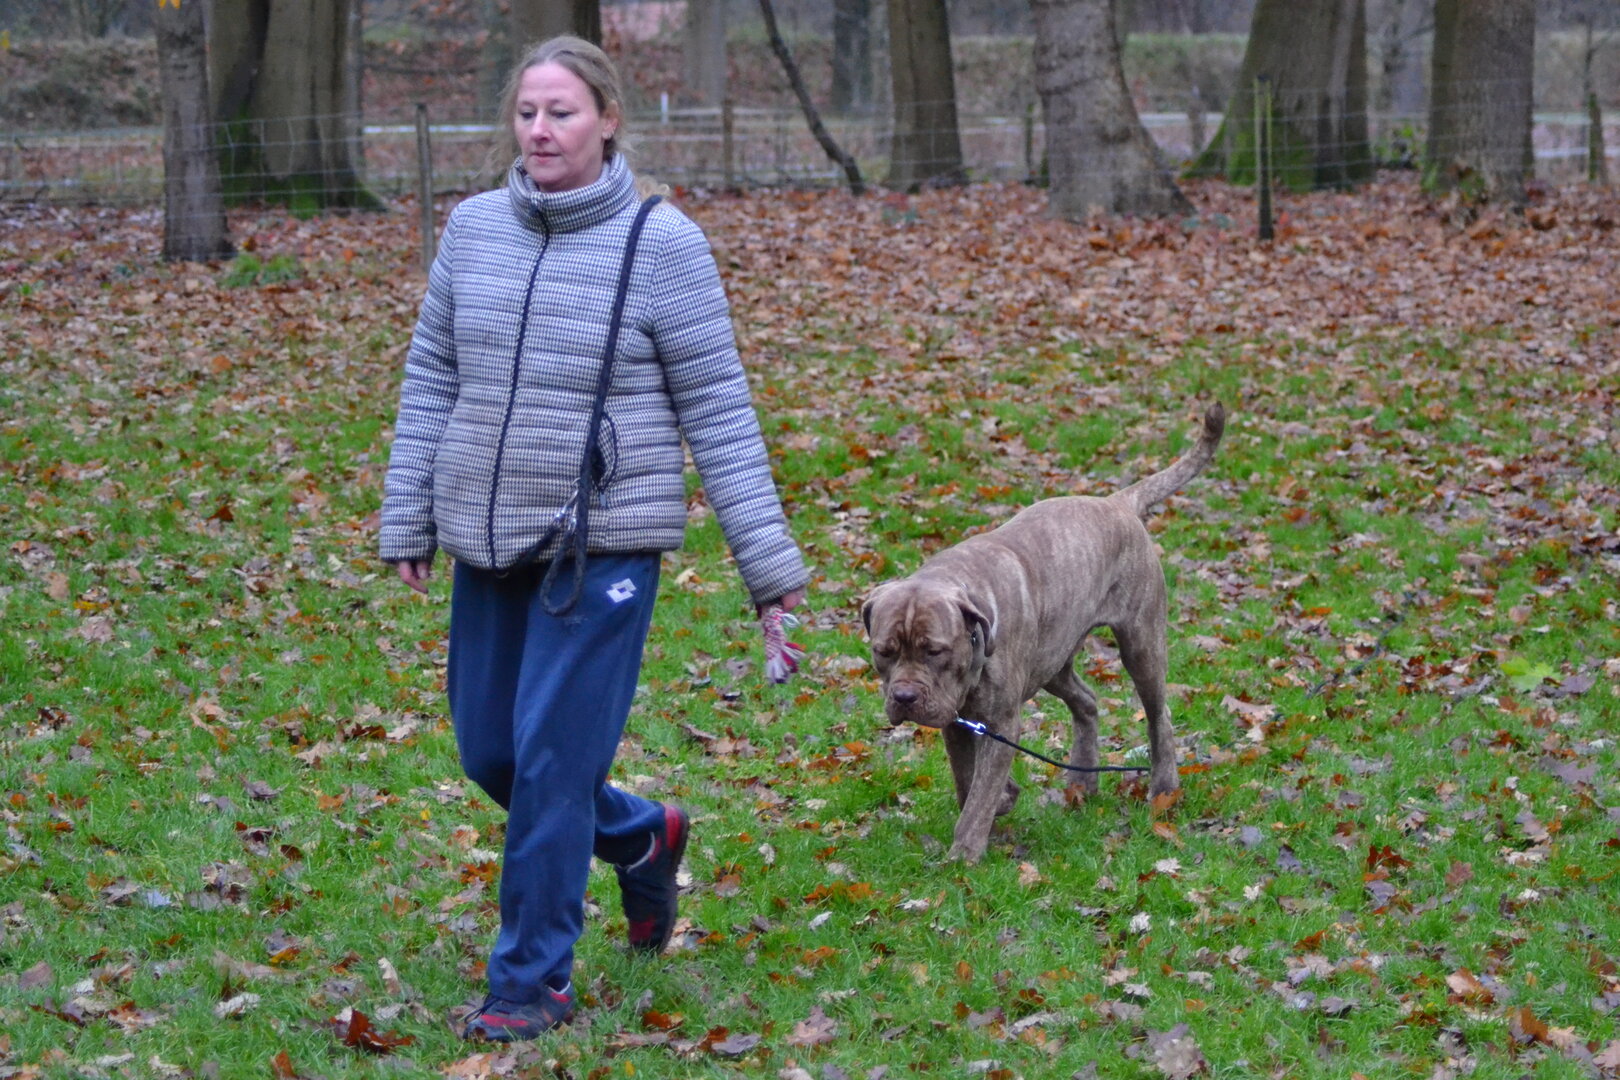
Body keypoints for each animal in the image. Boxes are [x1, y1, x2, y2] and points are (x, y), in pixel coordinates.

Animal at [862, 403, 1225, 862]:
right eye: (884, 652)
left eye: (934, 651)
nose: (905, 697)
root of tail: (1117, 502)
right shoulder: (956, 721)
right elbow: (967, 777)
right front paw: (1003, 798)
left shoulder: (1000, 721)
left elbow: (979, 792)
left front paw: (965, 851)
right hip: (1053, 661)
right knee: (1086, 701)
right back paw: (1083, 780)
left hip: (1140, 644)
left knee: (1160, 717)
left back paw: (1163, 787)